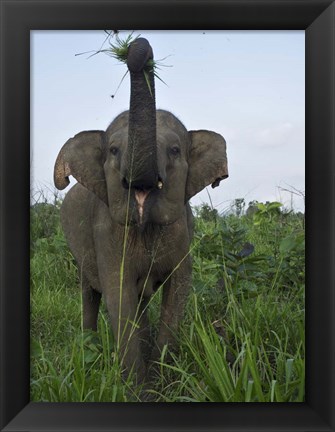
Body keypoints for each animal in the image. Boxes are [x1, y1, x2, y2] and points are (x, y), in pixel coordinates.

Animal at [54, 37, 228, 382]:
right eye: (113, 150)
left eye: (174, 150)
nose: (136, 48)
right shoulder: (106, 232)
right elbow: (118, 295)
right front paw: (136, 386)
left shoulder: (183, 232)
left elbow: (177, 290)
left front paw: (161, 381)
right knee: (90, 293)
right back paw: (89, 348)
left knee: (141, 300)